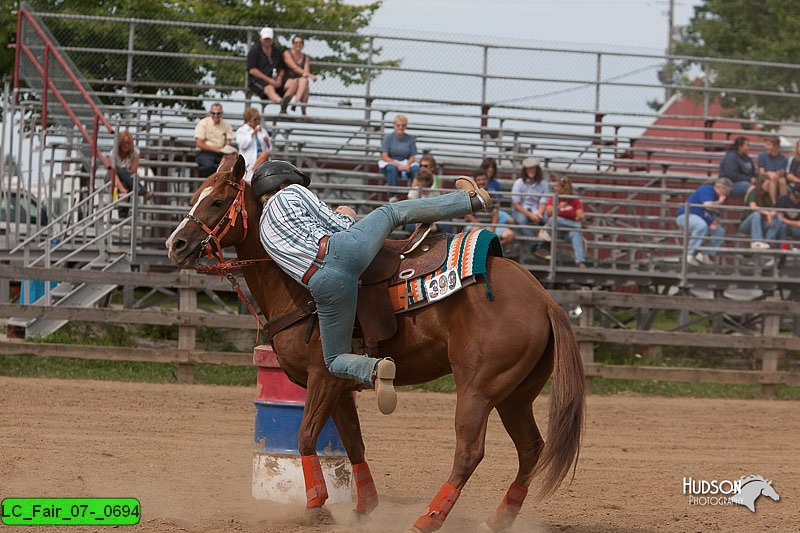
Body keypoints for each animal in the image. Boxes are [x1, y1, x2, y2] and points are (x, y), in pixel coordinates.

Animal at [166, 155, 584, 532]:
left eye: (216, 202)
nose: (176, 243)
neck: (295, 287)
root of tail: (543, 298)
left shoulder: (324, 376)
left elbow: (305, 437)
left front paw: (317, 506)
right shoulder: (338, 385)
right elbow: (353, 443)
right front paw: (363, 507)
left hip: (478, 388)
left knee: (470, 452)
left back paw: (429, 518)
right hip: (515, 394)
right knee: (531, 449)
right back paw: (498, 519)